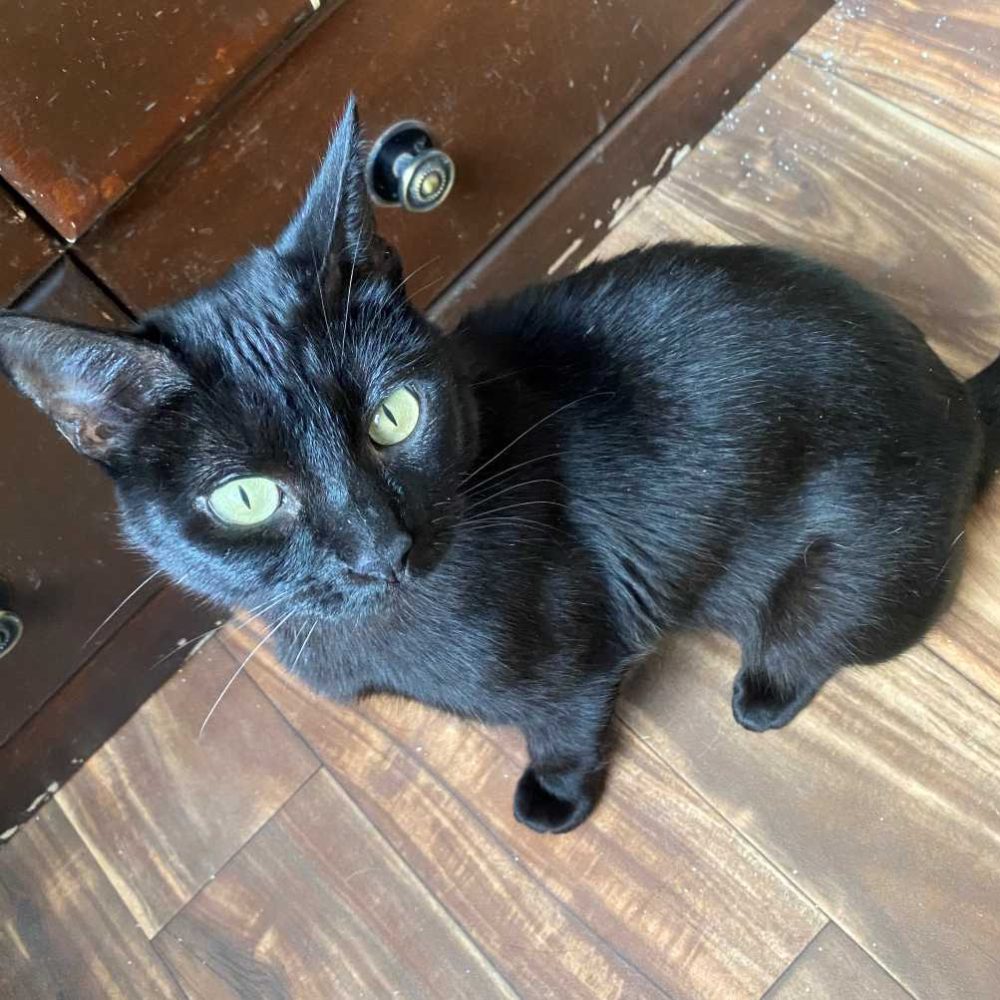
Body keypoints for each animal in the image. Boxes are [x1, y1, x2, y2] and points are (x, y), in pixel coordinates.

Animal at [2, 99, 998, 834]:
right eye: (245, 497)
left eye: (394, 416)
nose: (381, 549)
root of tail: (956, 398)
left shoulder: (578, 661)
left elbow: (562, 725)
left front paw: (555, 797)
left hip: (834, 585)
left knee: (804, 653)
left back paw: (764, 686)